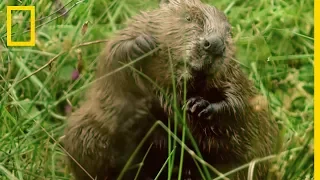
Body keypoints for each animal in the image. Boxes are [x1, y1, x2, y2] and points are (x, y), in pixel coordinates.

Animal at [62, 0, 278, 180]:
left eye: (229, 31)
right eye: (189, 17)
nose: (215, 44)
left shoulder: (232, 74)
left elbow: (240, 102)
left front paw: (199, 106)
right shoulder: (135, 28)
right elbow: (112, 57)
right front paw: (141, 45)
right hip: (82, 129)